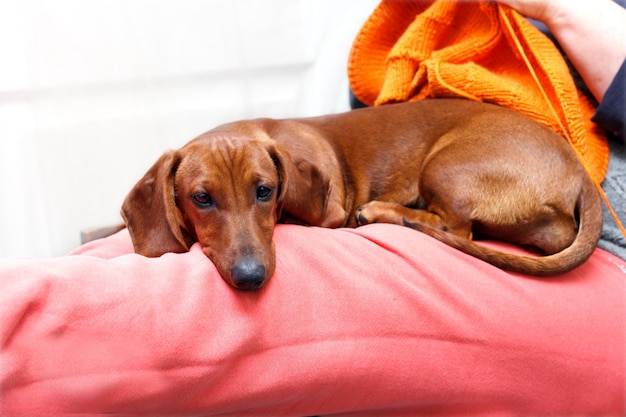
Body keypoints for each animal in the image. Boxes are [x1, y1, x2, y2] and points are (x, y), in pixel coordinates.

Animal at [120, 98, 600, 290]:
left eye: (265, 191)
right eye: (201, 199)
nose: (251, 277)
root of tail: (580, 170)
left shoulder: (329, 211)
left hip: (446, 166)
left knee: (456, 227)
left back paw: (387, 212)